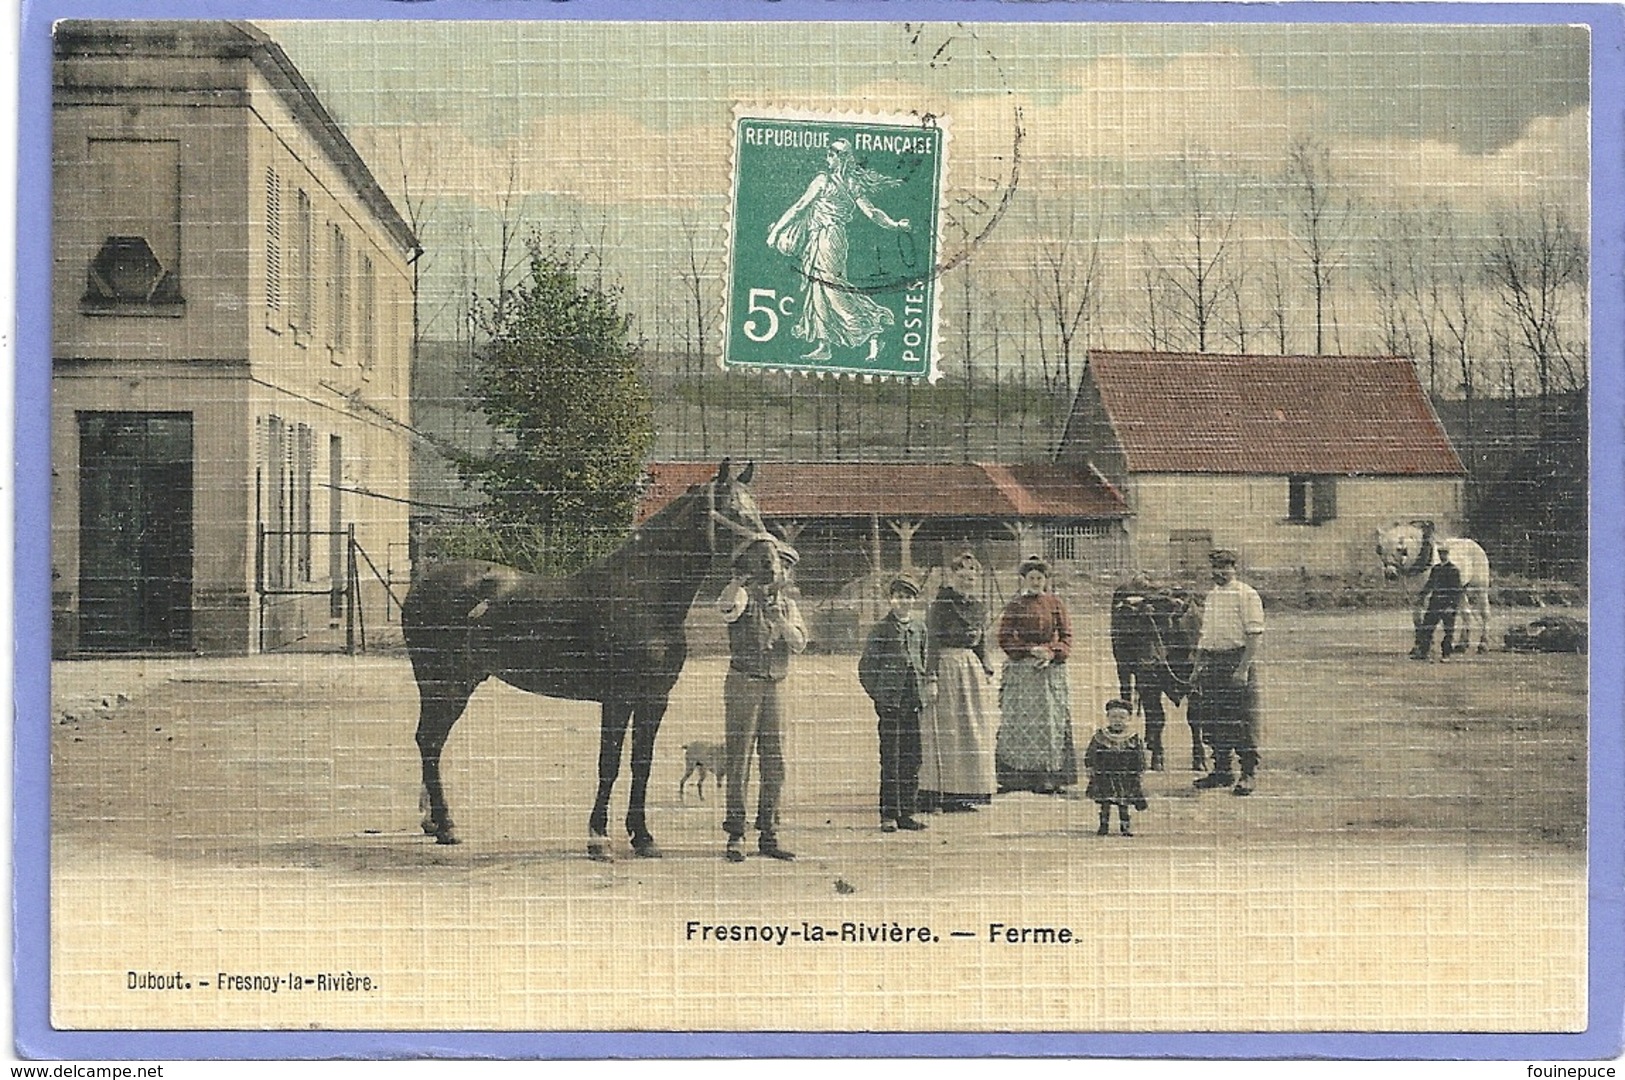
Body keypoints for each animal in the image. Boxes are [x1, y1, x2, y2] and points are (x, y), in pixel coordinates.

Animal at [406, 457, 786, 857]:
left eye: (758, 511)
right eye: (733, 512)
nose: (771, 566)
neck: (643, 595)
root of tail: (422, 584)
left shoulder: (655, 699)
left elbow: (641, 764)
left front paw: (643, 837)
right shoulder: (617, 698)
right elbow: (610, 763)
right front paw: (598, 838)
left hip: (457, 685)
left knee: (431, 742)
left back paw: (435, 824)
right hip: (444, 686)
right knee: (429, 742)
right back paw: (446, 827)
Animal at [1378, 519, 1488, 652]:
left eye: (1399, 549)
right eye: (1380, 549)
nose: (1390, 574)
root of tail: (1475, 544)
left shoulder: (1428, 595)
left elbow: (1428, 619)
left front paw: (1429, 646)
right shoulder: (1415, 597)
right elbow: (1417, 620)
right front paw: (1418, 646)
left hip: (1480, 589)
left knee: (1484, 613)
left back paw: (1483, 644)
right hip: (1460, 590)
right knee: (1466, 613)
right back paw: (1462, 644)